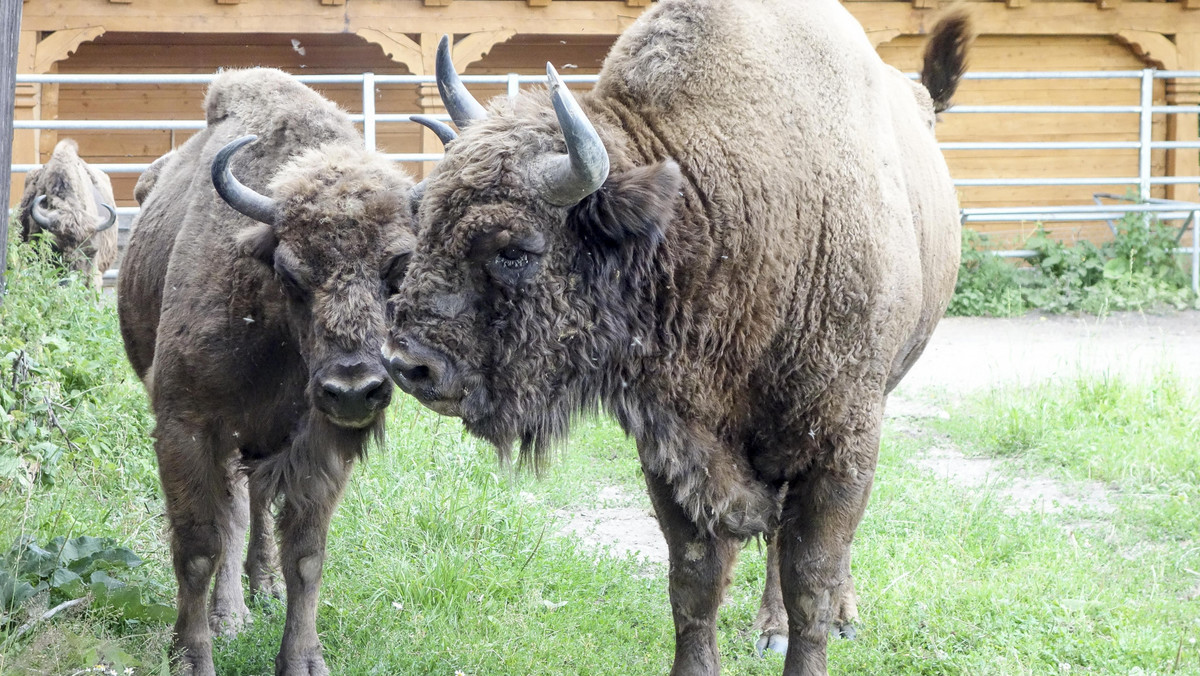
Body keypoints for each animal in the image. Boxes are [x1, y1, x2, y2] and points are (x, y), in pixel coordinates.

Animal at [118, 68, 417, 676]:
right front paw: (191, 655)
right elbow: (199, 546)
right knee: (233, 515)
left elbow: (305, 555)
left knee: (254, 507)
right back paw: (231, 614)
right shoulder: (186, 426)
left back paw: (263, 589)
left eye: (397, 267)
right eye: (291, 272)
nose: (354, 390)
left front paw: (302, 658)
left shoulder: (320, 444)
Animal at [388, 2, 969, 672]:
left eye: (515, 249)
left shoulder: (842, 441)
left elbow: (812, 581)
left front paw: (816, 627)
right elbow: (694, 580)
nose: (408, 364)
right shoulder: (671, 445)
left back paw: (816, 621)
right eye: (421, 213)